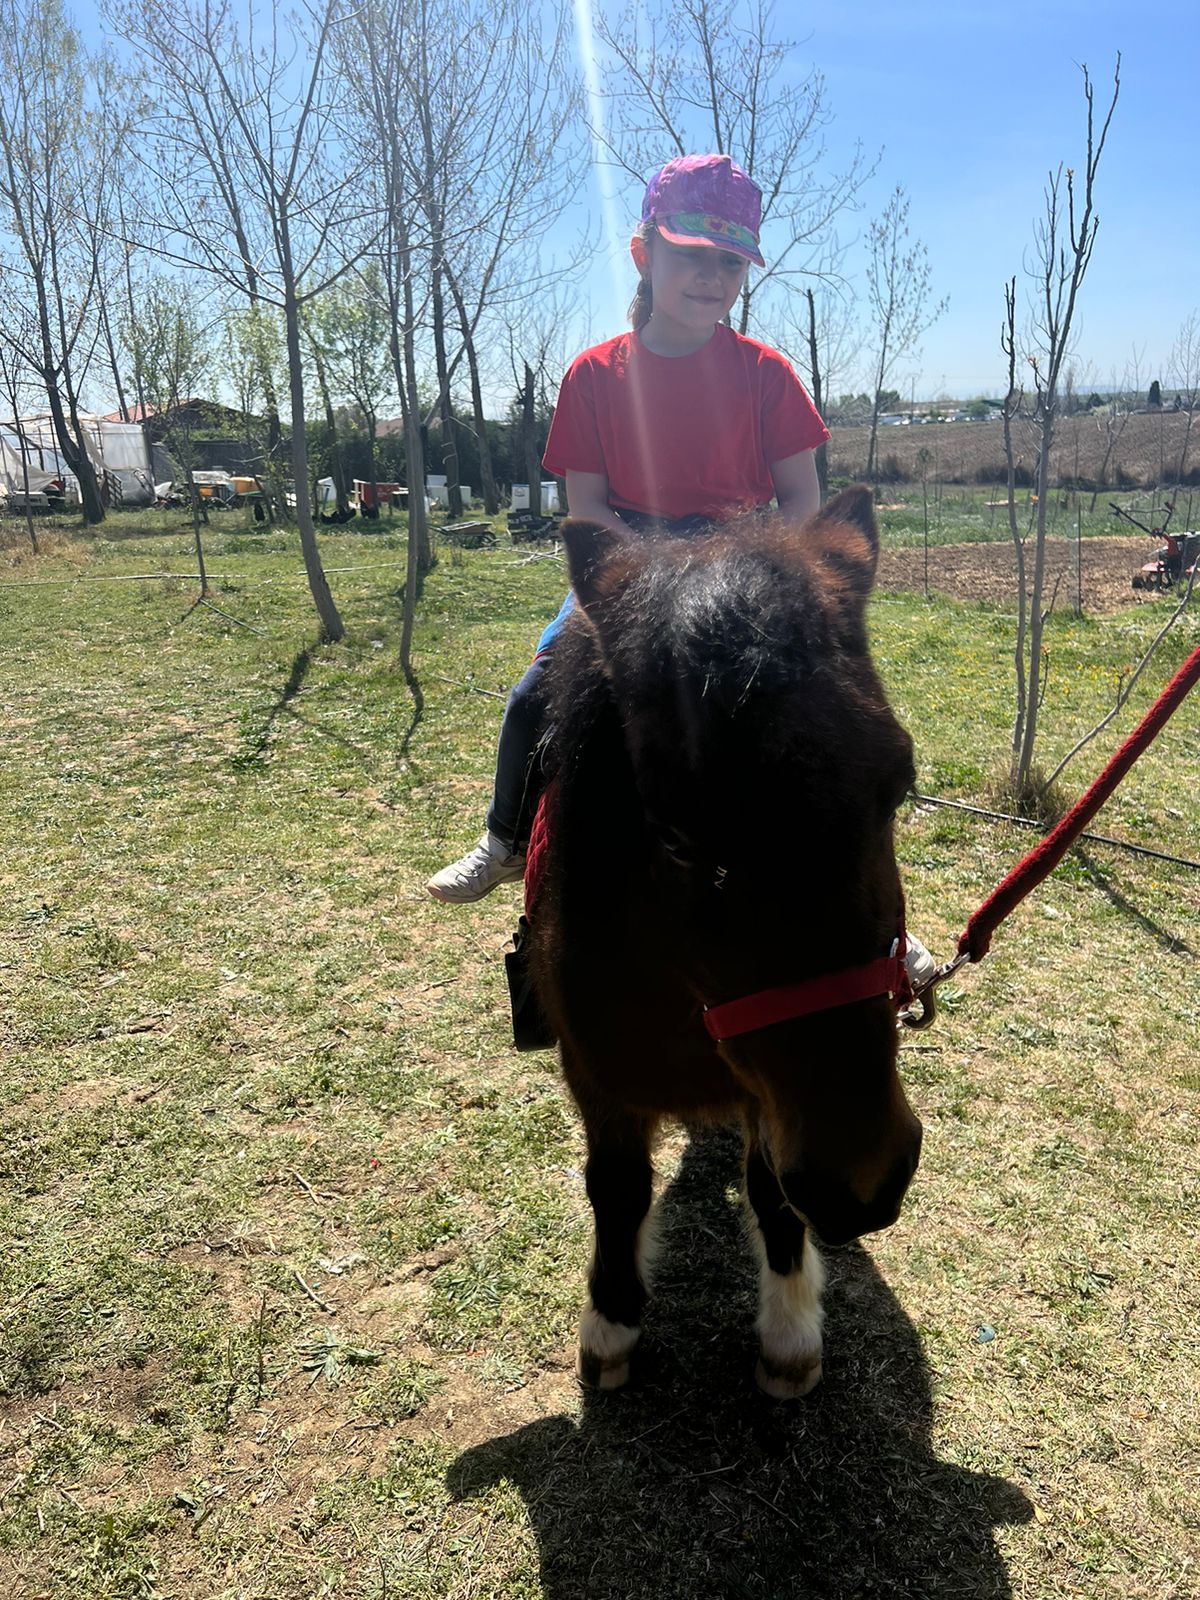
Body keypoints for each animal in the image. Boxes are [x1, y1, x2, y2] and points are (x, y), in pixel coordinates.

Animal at [525, 487, 923, 1400]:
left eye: (899, 788)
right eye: (674, 837)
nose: (860, 1181)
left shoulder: (769, 1098)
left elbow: (772, 1190)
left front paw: (789, 1329)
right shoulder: (593, 1073)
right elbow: (617, 1189)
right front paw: (611, 1321)